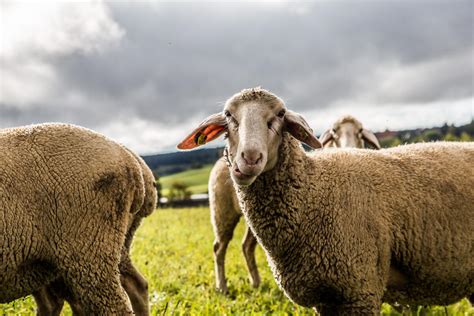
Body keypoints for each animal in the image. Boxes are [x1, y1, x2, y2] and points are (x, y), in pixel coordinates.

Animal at [211, 113, 382, 294]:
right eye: (334, 132)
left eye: (360, 131)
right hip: (222, 211)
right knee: (219, 247)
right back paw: (222, 287)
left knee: (246, 246)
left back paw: (256, 283)